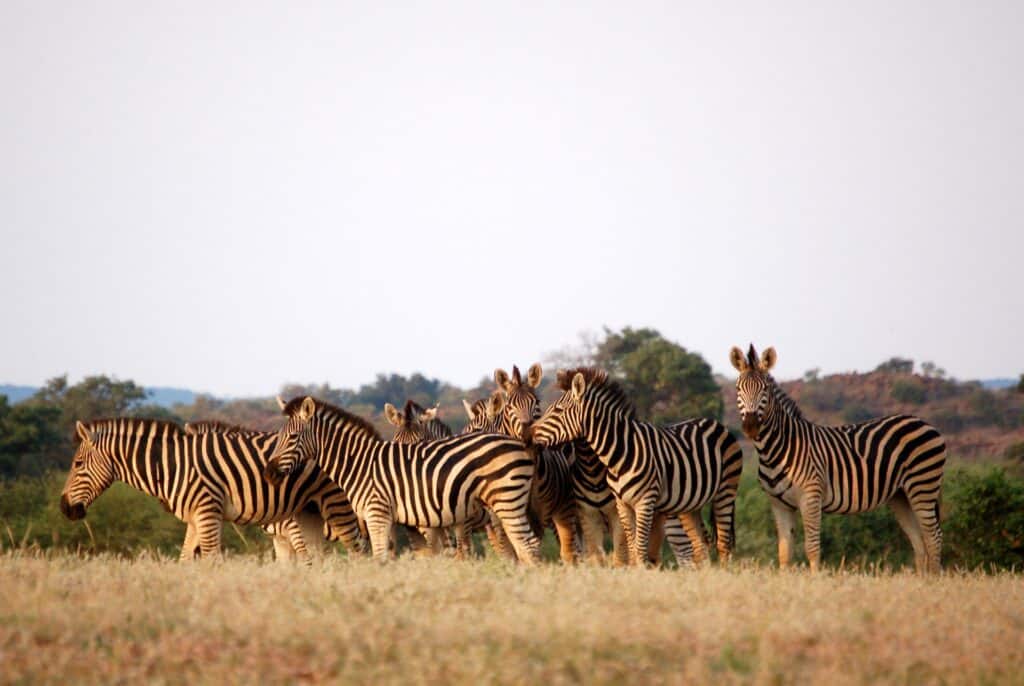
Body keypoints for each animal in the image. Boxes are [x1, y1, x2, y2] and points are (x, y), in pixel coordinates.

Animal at [263, 396, 541, 564]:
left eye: (293, 437)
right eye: (279, 436)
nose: (269, 473)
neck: (359, 463)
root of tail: (518, 444)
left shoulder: (378, 515)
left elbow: (382, 559)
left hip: (505, 502)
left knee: (526, 545)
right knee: (526, 545)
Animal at [528, 367, 743, 567]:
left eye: (558, 410)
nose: (529, 433)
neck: (619, 454)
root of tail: (716, 423)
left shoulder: (644, 502)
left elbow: (638, 548)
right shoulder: (621, 504)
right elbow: (630, 548)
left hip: (725, 491)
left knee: (722, 544)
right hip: (691, 504)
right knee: (701, 544)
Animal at [730, 344, 946, 573]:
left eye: (765, 390)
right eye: (738, 389)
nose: (751, 427)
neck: (776, 451)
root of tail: (924, 423)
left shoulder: (811, 497)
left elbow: (812, 548)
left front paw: (816, 579)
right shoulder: (779, 504)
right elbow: (784, 552)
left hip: (923, 486)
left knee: (933, 537)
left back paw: (932, 579)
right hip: (901, 495)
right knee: (919, 541)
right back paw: (920, 579)